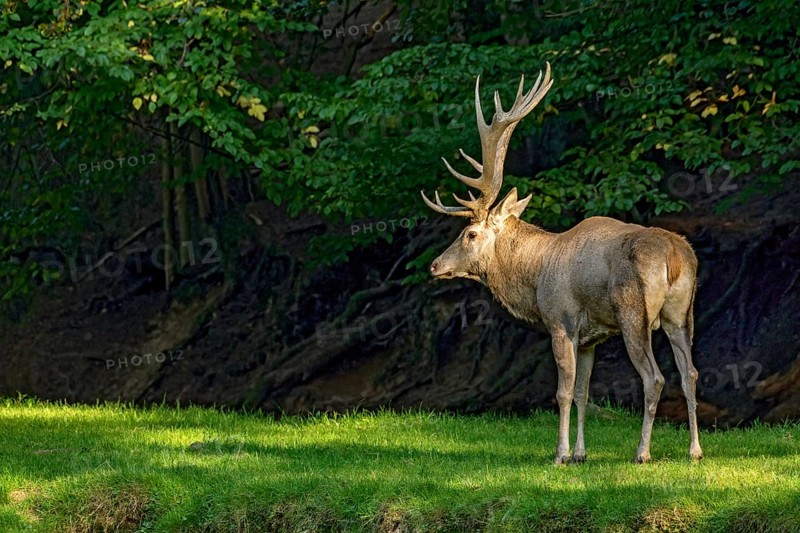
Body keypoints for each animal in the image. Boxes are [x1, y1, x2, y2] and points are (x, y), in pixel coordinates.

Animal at [421, 63, 703, 465]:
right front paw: (581, 454)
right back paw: (695, 450)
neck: (535, 273)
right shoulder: (590, 337)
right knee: (689, 372)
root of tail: (675, 256)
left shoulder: (560, 321)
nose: (434, 265)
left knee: (655, 377)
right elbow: (584, 392)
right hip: (681, 312)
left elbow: (563, 392)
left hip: (634, 311)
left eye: (470, 234)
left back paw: (642, 452)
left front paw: (560, 454)